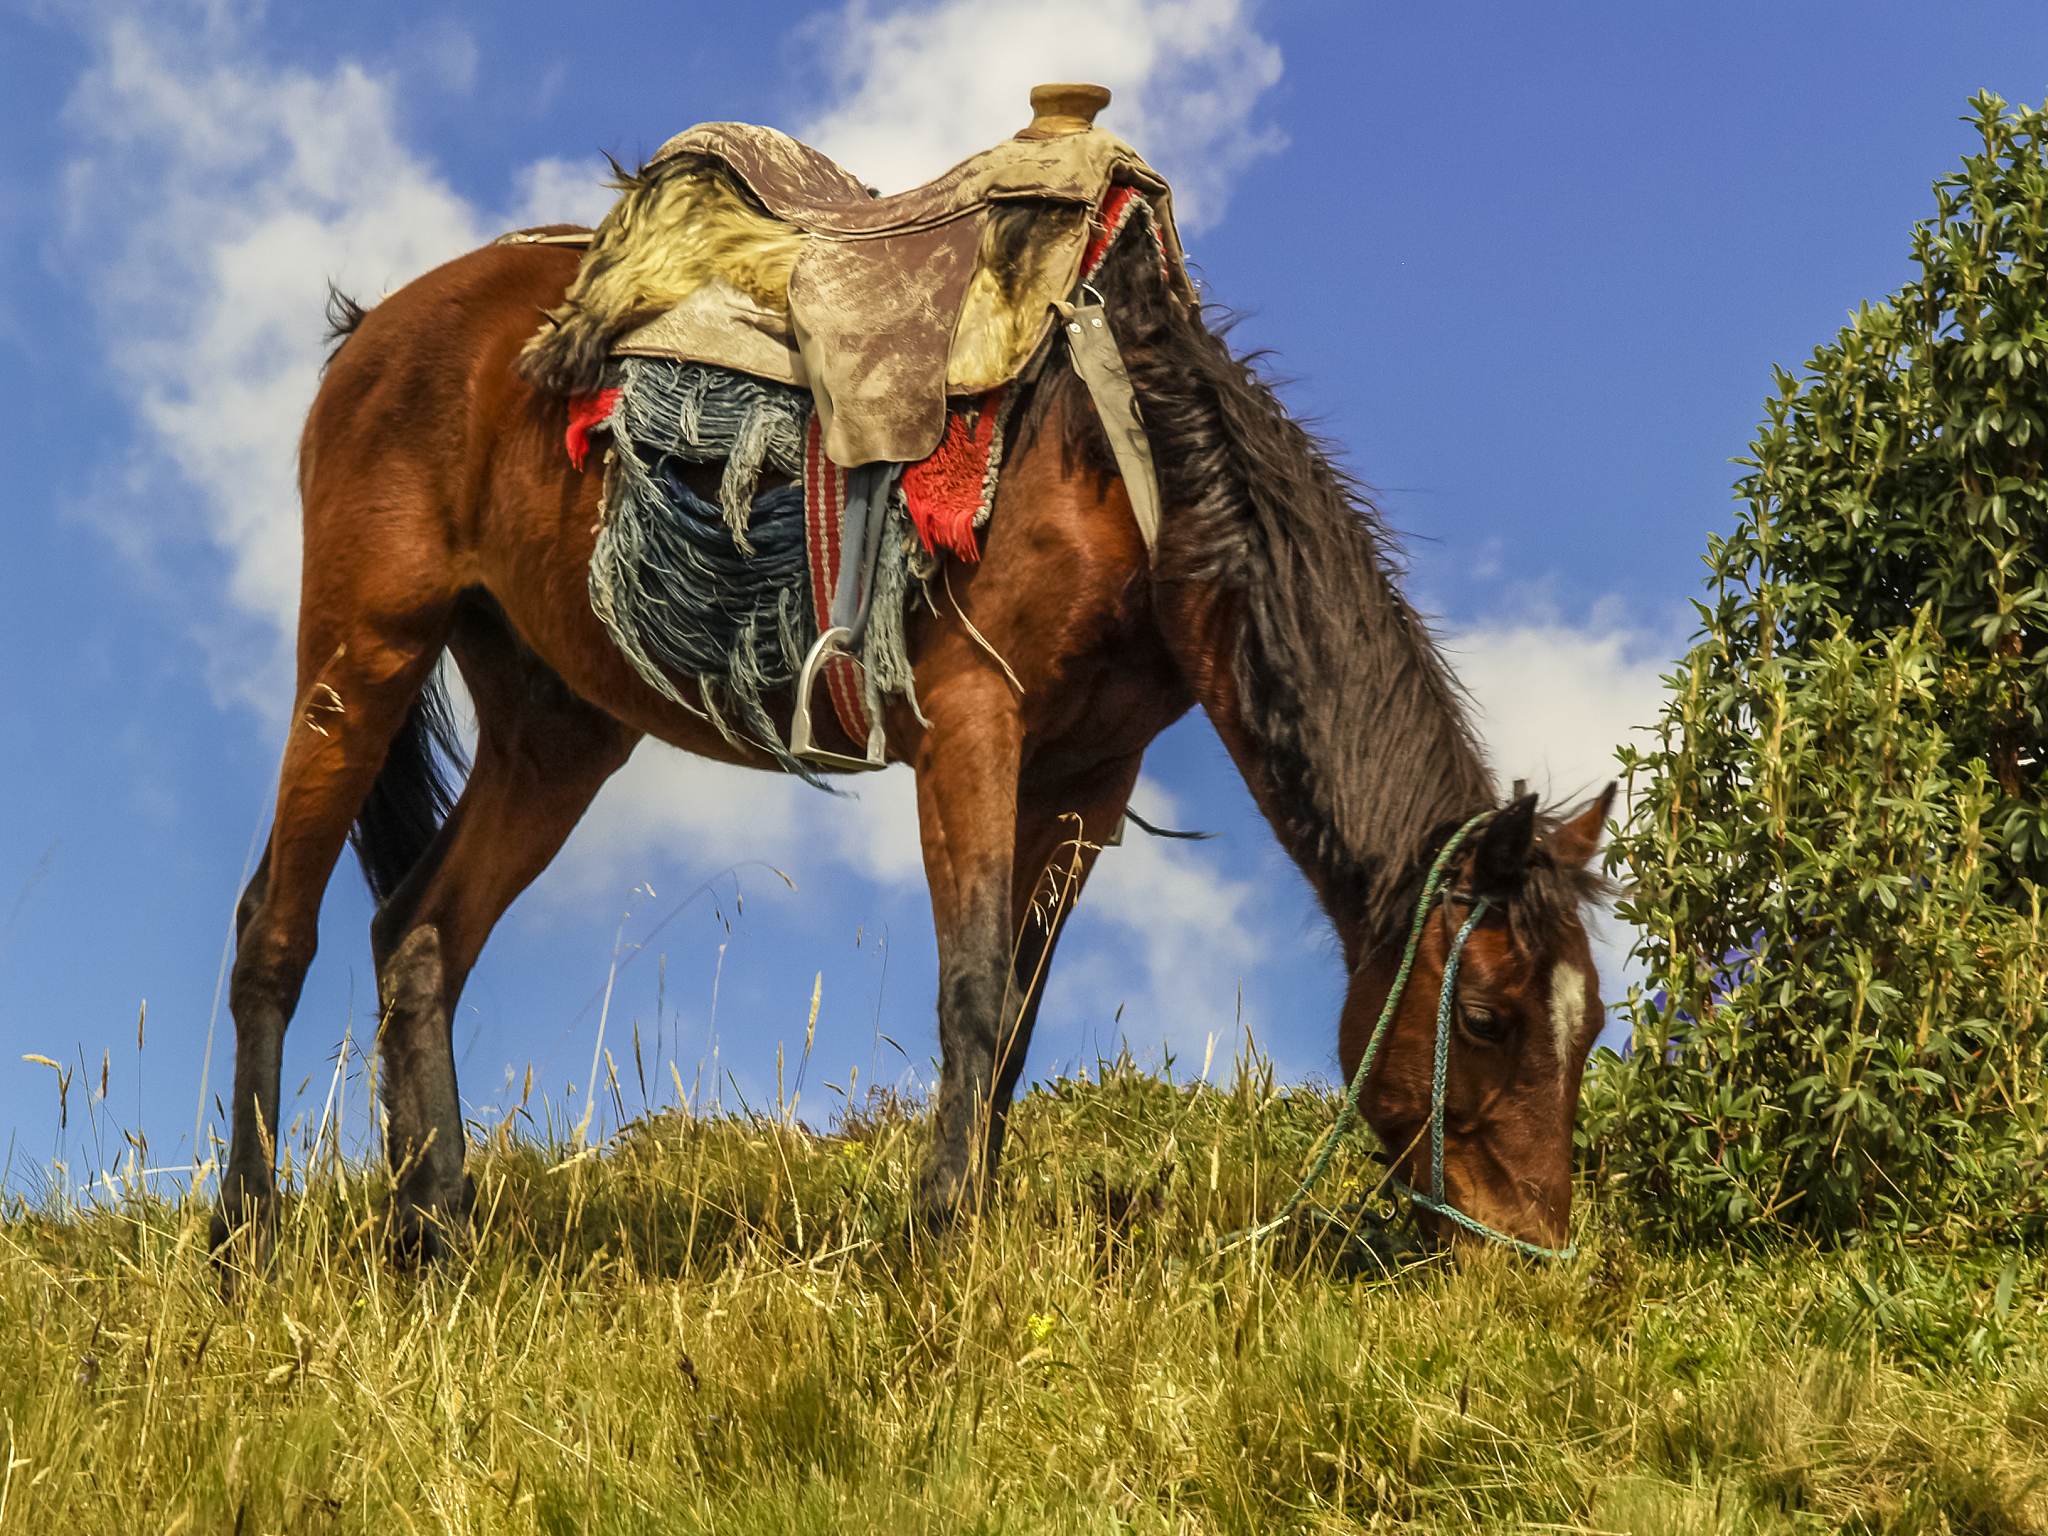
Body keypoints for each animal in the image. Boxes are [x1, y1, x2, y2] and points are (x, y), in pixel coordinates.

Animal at [210, 195, 1615, 1275]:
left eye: (1590, 1026)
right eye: (1486, 1016)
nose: (1526, 1256)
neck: (1131, 465)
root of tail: (377, 329)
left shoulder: (1084, 778)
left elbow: (1020, 1022)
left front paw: (972, 1222)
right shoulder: (970, 725)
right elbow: (974, 987)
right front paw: (942, 1238)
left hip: (556, 726)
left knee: (421, 937)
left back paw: (433, 1236)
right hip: (363, 649)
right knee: (275, 930)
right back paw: (247, 1245)